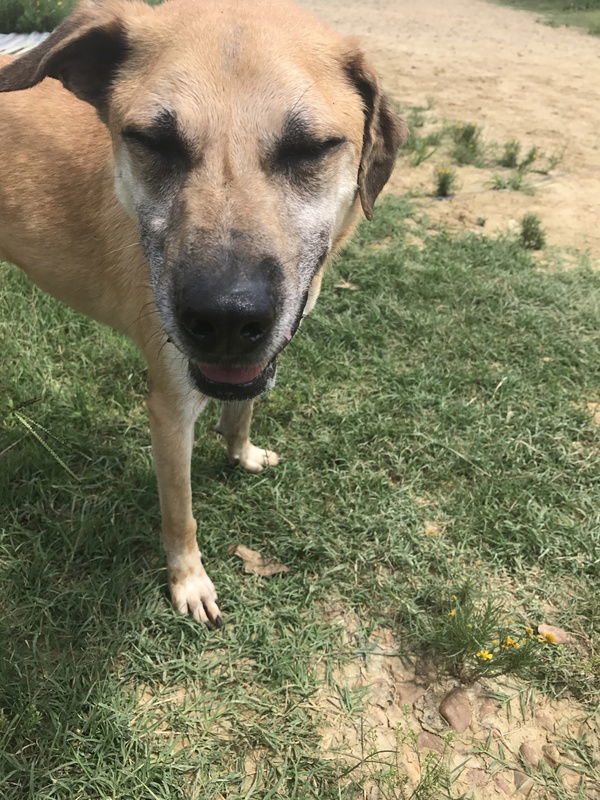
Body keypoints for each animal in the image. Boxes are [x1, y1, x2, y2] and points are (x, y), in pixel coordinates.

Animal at [0, 0, 406, 624]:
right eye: (152, 140)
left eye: (311, 147)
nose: (226, 320)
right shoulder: (168, 407)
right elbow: (180, 511)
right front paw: (188, 581)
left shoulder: (258, 359)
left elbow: (243, 408)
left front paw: (241, 453)